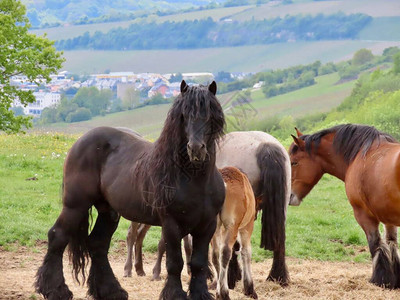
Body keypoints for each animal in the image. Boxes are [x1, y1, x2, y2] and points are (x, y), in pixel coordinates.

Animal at [211, 166, 258, 300]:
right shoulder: (247, 227)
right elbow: (246, 252)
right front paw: (249, 288)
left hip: (215, 227)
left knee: (215, 254)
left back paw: (219, 291)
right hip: (232, 226)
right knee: (225, 252)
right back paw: (224, 293)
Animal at [290, 123, 400, 288]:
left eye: (294, 162)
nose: (288, 196)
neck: (362, 154)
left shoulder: (364, 215)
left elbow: (375, 244)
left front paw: (380, 279)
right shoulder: (388, 217)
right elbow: (391, 243)